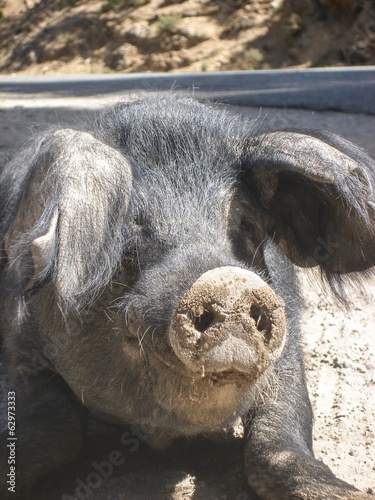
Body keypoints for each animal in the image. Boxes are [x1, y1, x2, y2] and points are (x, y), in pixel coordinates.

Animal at [0, 94, 374, 500]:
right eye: (128, 233)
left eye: (246, 224)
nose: (228, 283)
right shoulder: (22, 342)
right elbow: (55, 428)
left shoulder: (288, 347)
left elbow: (279, 439)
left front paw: (349, 492)